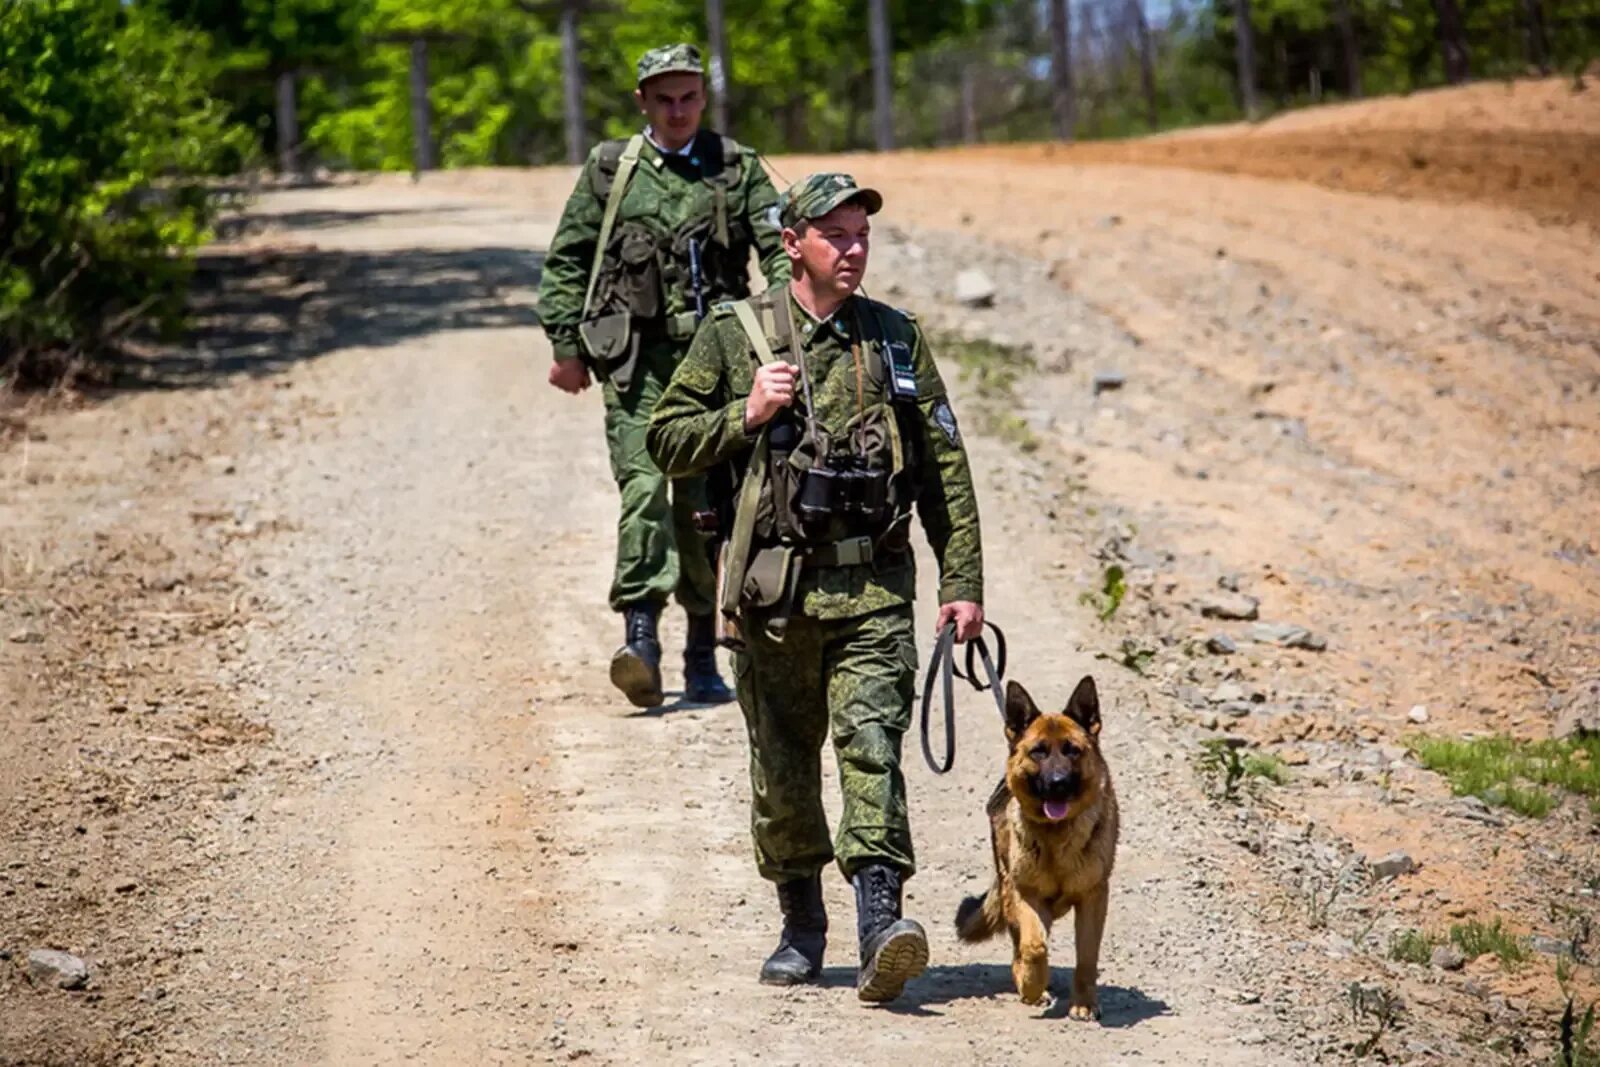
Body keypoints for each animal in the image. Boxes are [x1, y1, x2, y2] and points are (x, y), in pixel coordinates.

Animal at [953, 675, 1120, 1017]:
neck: (1056, 836)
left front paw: (1084, 1003)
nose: (1057, 783)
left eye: (1072, 751)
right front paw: (1032, 985)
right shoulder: (1026, 895)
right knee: (1021, 944)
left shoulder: (1093, 899)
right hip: (1011, 891)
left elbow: (1087, 958)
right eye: (1038, 752)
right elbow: (1033, 946)